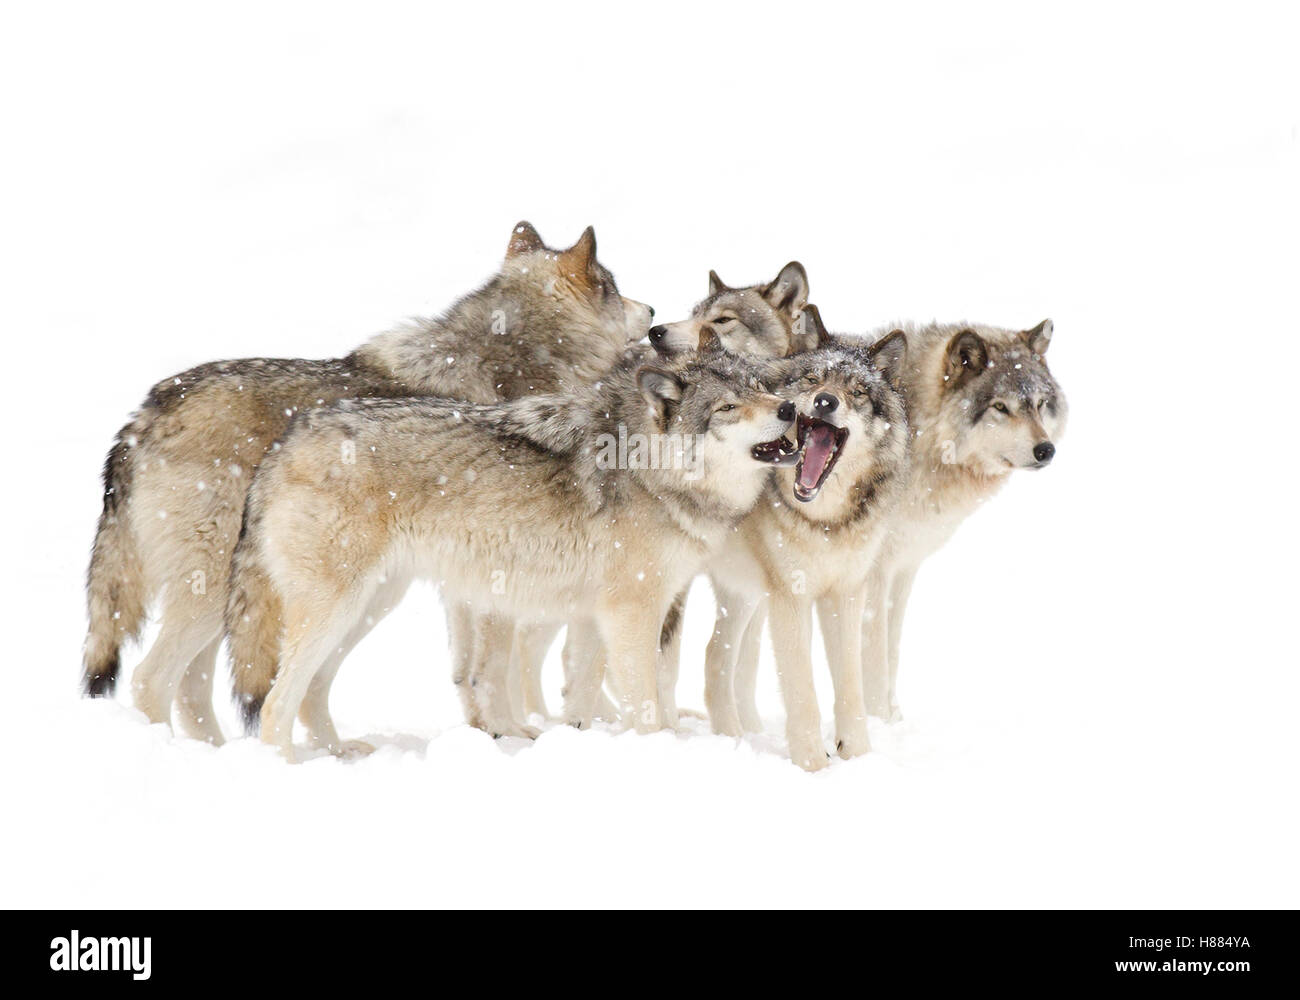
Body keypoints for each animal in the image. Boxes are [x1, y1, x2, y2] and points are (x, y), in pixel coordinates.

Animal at [81, 221, 650, 749]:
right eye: (615, 286)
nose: (651, 311)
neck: (517, 356)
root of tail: (143, 415)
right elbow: (495, 665)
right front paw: (513, 733)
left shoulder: (470, 576)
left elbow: (470, 669)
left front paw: (488, 730)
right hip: (245, 592)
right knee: (154, 679)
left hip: (306, 597)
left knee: (200, 686)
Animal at [226, 348, 790, 759]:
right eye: (727, 408)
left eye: (763, 387)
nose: (788, 409)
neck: (651, 468)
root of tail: (284, 442)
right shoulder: (632, 612)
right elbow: (647, 705)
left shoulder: (595, 616)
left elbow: (583, 697)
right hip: (337, 609)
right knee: (275, 703)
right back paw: (285, 768)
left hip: (368, 607)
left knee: (309, 692)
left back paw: (339, 752)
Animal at [702, 308, 904, 769]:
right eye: (813, 379)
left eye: (858, 391)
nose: (826, 402)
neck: (825, 523)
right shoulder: (790, 598)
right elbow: (803, 692)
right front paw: (813, 765)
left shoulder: (846, 593)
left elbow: (850, 685)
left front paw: (857, 756)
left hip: (742, 595)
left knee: (715, 656)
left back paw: (734, 737)